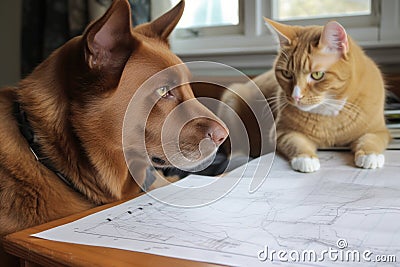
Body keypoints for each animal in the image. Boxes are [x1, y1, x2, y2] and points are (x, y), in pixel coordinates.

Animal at [262, 19, 390, 174]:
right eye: (287, 74)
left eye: (317, 75)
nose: (296, 96)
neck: (329, 110)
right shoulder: (282, 132)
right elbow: (296, 142)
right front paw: (306, 159)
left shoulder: (379, 131)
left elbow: (370, 140)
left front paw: (370, 155)